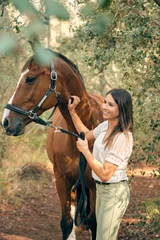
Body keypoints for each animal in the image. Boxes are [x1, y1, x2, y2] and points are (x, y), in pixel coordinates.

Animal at [1, 41, 103, 240]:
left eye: (30, 79)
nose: (6, 121)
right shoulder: (61, 180)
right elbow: (66, 222)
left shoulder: (95, 184)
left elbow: (95, 223)